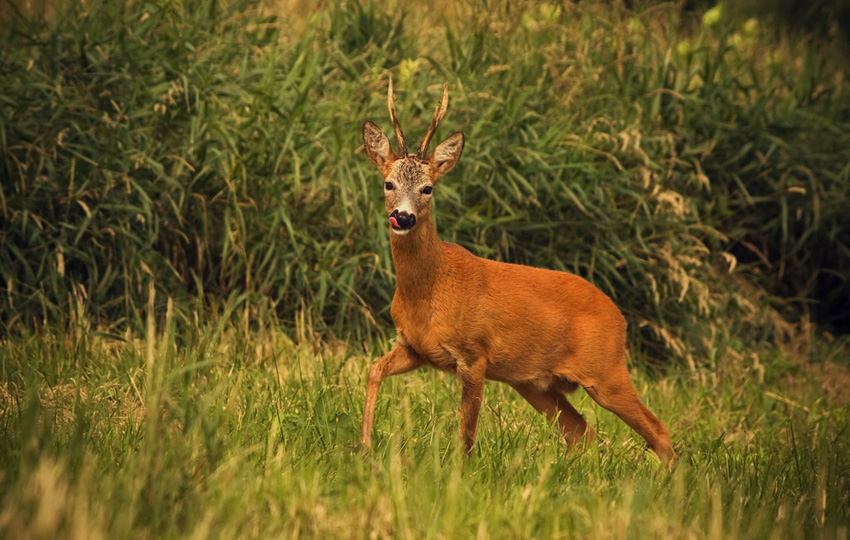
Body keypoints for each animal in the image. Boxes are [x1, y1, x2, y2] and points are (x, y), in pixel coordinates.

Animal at [354, 80, 672, 464]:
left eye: (427, 188)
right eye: (388, 184)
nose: (403, 217)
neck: (430, 288)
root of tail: (619, 318)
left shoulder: (475, 354)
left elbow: (467, 430)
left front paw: (459, 470)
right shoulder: (415, 348)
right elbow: (374, 370)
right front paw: (364, 447)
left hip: (605, 371)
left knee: (658, 430)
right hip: (534, 383)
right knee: (581, 431)